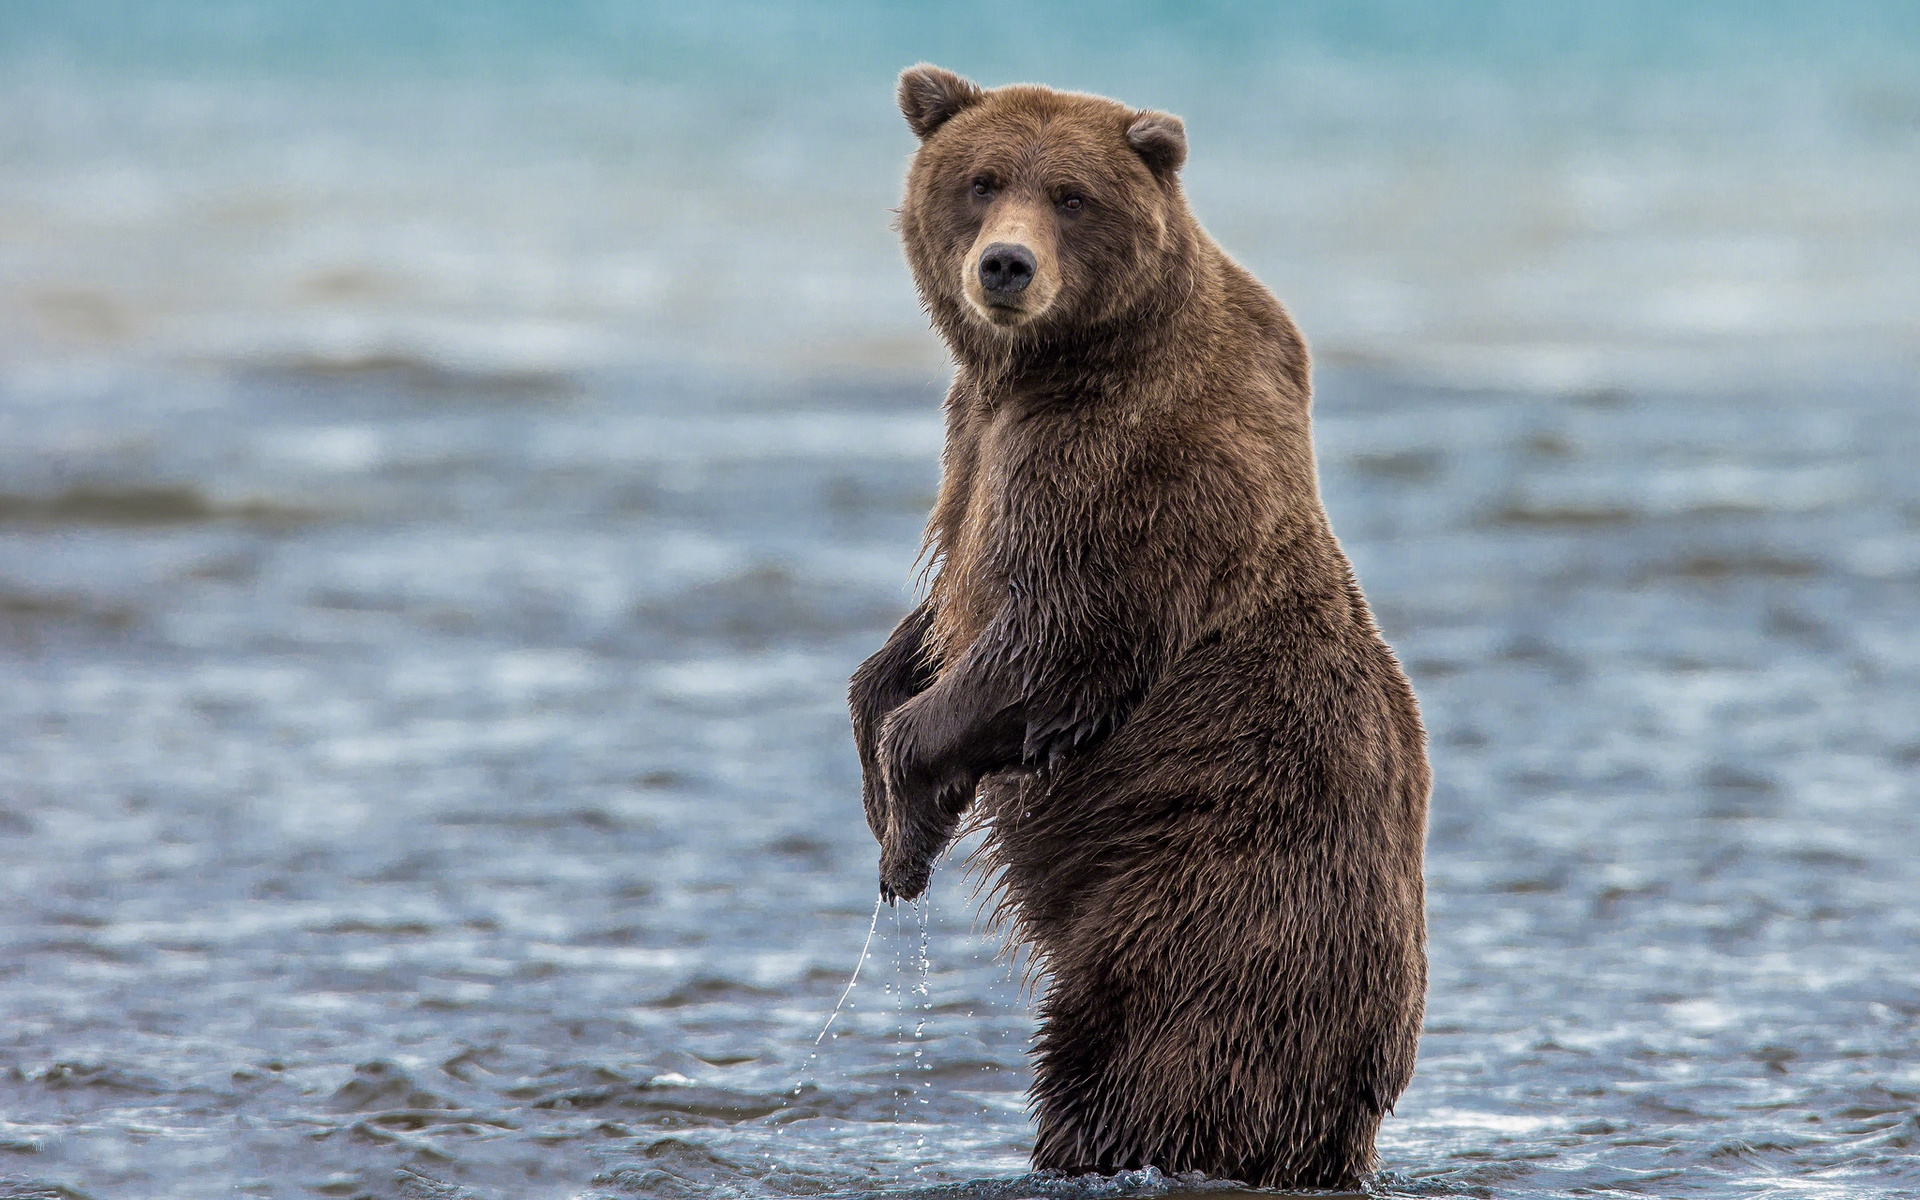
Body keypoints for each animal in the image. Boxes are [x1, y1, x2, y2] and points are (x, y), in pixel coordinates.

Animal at [848, 65, 1436, 1190]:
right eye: (982, 180)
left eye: (1071, 195)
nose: (1006, 266)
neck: (1051, 365)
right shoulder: (976, 438)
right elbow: (931, 625)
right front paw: (882, 771)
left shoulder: (1127, 467)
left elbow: (1058, 637)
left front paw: (909, 823)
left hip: (1210, 909)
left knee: (1141, 1065)